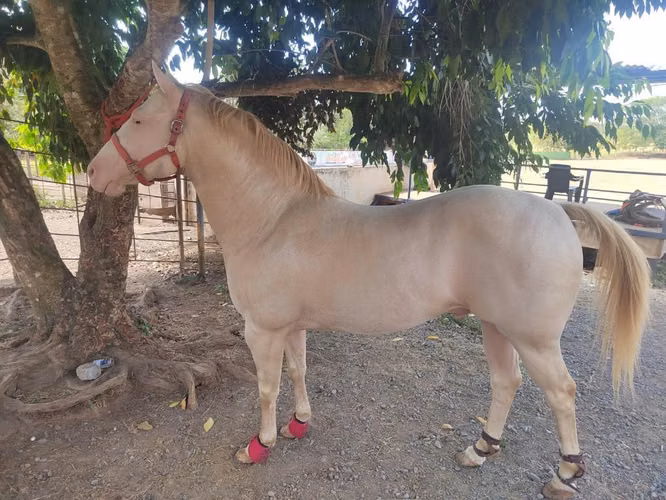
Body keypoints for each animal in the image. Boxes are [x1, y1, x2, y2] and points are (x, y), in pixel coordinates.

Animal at [87, 61, 651, 499]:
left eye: (140, 118)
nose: (94, 172)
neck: (274, 218)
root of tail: (557, 212)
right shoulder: (292, 327)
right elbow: (298, 373)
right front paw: (299, 424)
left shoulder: (262, 331)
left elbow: (268, 387)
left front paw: (260, 445)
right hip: (495, 327)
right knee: (506, 383)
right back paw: (479, 449)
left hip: (532, 339)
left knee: (562, 394)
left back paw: (565, 474)